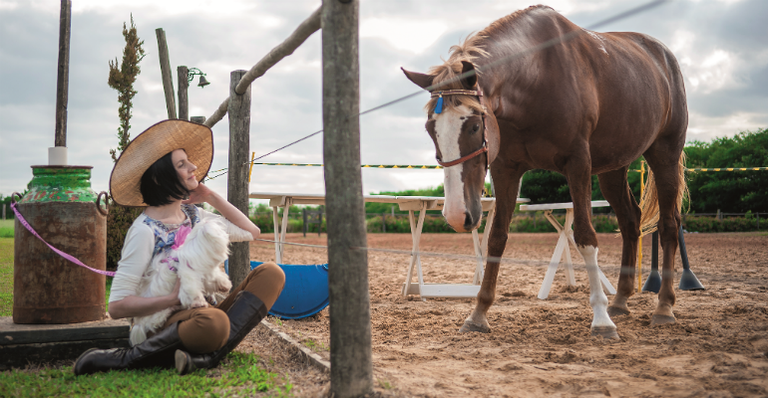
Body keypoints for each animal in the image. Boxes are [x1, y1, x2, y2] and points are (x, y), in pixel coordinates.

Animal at [130, 218, 231, 346]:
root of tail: (138, 323)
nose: (227, 235)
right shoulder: (188, 278)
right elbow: (193, 292)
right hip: (158, 314)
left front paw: (225, 285)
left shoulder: (205, 273)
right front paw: (200, 303)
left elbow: (215, 278)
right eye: (220, 231)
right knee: (156, 322)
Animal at [404, 5, 688, 338]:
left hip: (664, 154)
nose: (455, 215)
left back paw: (664, 306)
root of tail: (663, 57)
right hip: (613, 169)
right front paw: (478, 313)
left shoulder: (578, 163)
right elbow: (497, 238)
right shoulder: (506, 169)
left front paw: (601, 319)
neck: (536, 78)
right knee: (631, 222)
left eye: (474, 125)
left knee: (669, 225)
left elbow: (586, 236)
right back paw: (620, 301)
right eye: (430, 129)